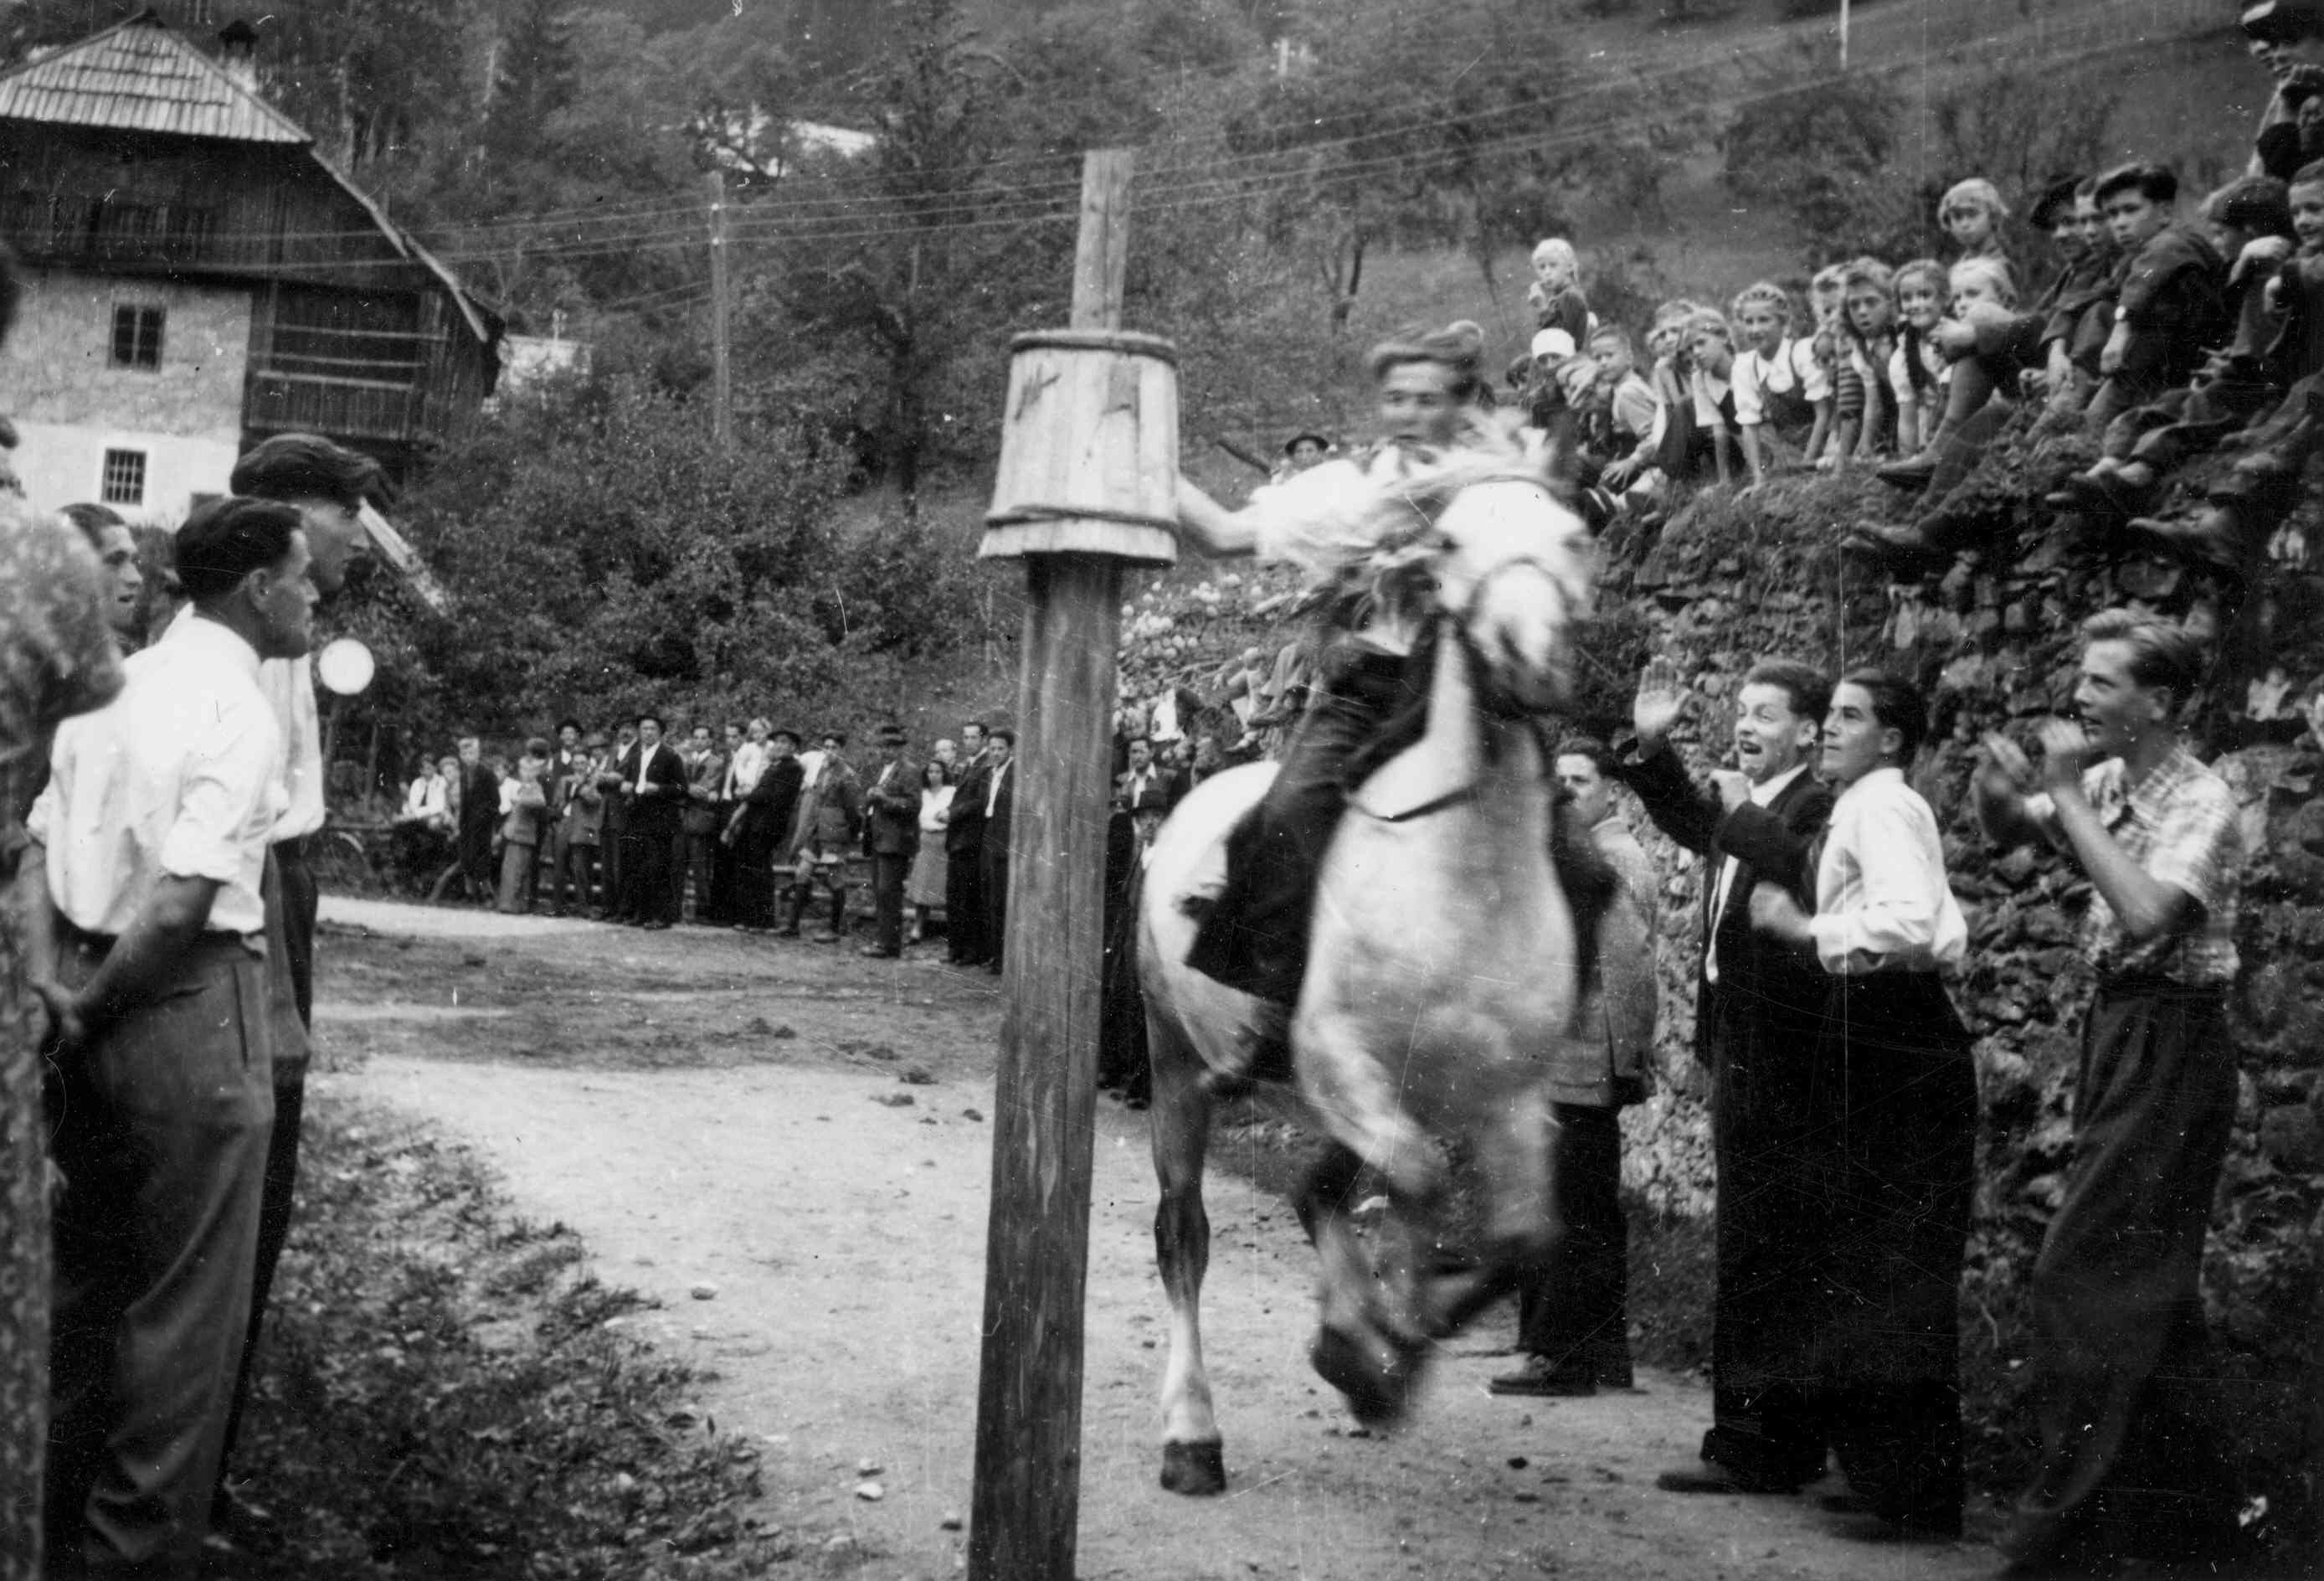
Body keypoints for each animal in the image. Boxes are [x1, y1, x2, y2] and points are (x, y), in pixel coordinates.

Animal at [1137, 469, 1596, 1497]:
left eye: (1573, 536)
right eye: (1452, 545)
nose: (1532, 659)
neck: (1463, 875)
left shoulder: (1506, 1098)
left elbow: (1525, 1240)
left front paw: (1378, 1347)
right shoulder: (1340, 1059)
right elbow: (1421, 1179)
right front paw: (1367, 1347)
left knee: (1320, 1189)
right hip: (1176, 1064)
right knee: (1185, 1236)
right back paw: (1189, 1433)